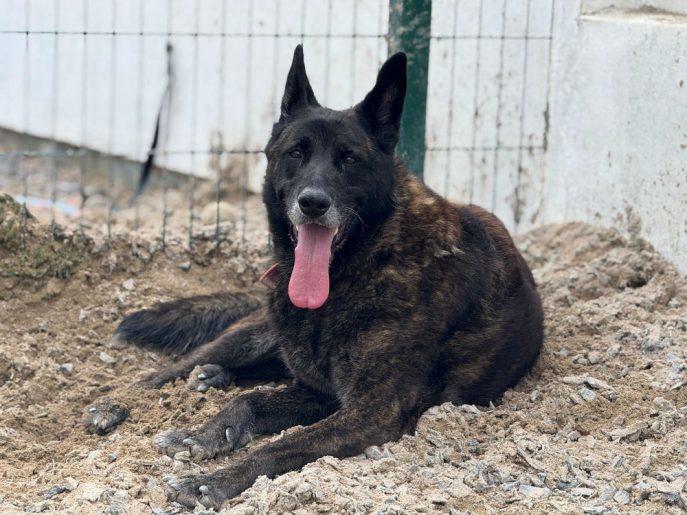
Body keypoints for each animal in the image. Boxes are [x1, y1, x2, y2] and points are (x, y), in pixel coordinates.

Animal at [84, 45, 543, 509]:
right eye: (296, 153)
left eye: (349, 159)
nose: (313, 203)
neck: (360, 266)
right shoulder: (323, 393)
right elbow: (247, 405)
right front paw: (203, 436)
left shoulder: (365, 409)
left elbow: (279, 440)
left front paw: (210, 479)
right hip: (255, 331)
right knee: (172, 368)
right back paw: (125, 398)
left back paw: (213, 376)